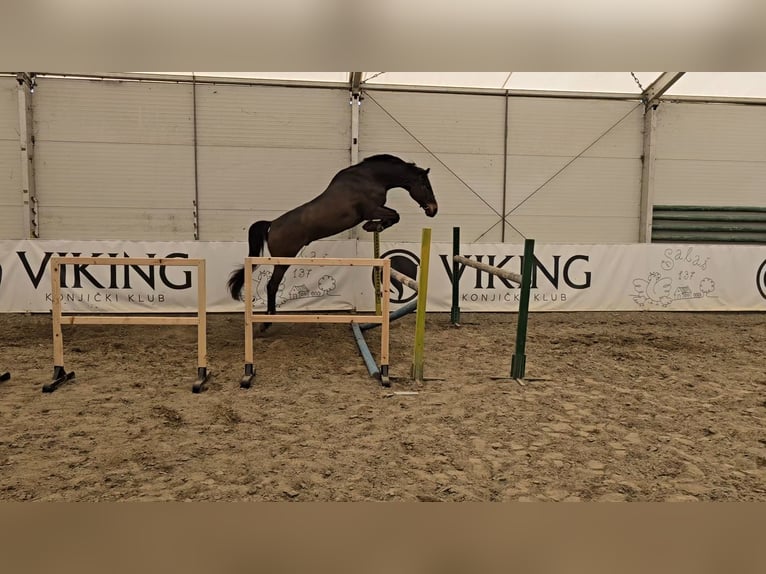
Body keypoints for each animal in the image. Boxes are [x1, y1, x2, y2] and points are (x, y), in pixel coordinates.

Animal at [228, 154, 438, 329]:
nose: (433, 210)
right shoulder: (371, 209)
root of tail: (272, 224)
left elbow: (393, 215)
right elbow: (395, 215)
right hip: (283, 260)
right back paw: (267, 321)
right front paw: (373, 226)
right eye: (426, 186)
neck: (372, 178)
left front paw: (374, 226)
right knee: (271, 285)